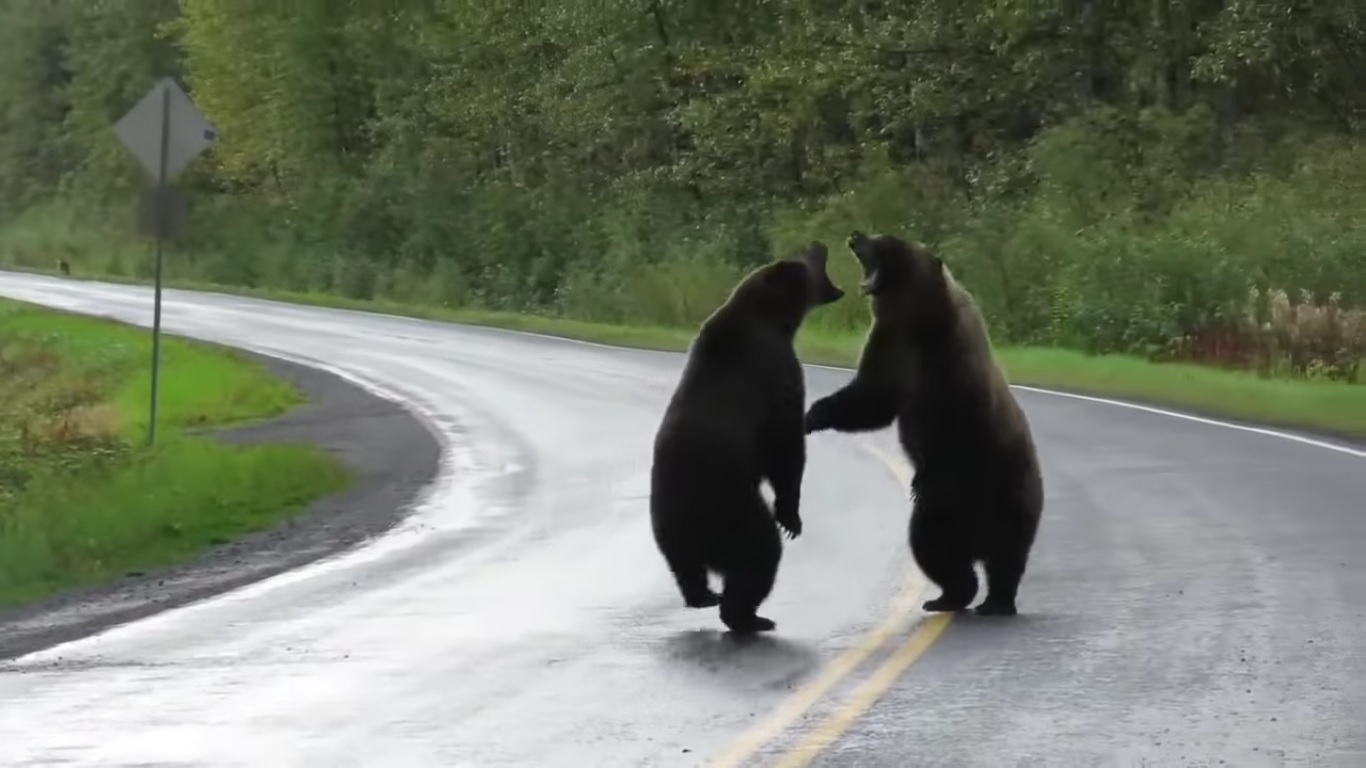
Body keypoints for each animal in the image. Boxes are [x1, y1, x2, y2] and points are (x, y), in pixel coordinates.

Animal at [650, 241, 841, 631]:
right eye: (807, 258)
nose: (820, 244)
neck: (774, 320)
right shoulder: (777, 372)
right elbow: (786, 446)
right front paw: (791, 517)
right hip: (731, 510)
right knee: (759, 553)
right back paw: (748, 616)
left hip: (667, 525)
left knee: (686, 569)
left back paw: (704, 596)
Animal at [803, 229, 1038, 612]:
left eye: (884, 240)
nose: (855, 235)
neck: (915, 319)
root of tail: (976, 535)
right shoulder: (891, 345)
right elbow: (871, 398)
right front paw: (813, 414)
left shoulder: (950, 366)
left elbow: (948, 426)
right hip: (951, 511)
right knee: (934, 546)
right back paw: (949, 596)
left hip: (1005, 486)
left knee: (1005, 551)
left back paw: (996, 601)